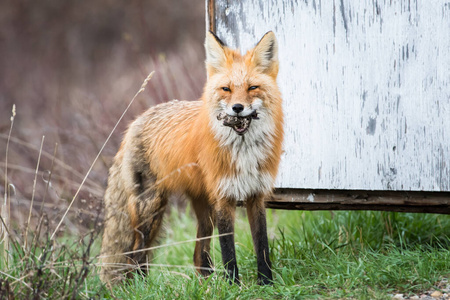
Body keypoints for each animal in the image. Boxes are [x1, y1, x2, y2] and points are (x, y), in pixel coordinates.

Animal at [100, 31, 284, 286]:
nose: (237, 108)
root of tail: (135, 122)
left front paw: (266, 282)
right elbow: (228, 248)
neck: (243, 152)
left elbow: (262, 245)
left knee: (198, 255)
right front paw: (233, 285)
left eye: (252, 87)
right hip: (150, 209)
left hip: (204, 210)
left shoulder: (256, 195)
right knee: (134, 256)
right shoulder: (224, 196)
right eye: (226, 89)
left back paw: (205, 282)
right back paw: (141, 287)